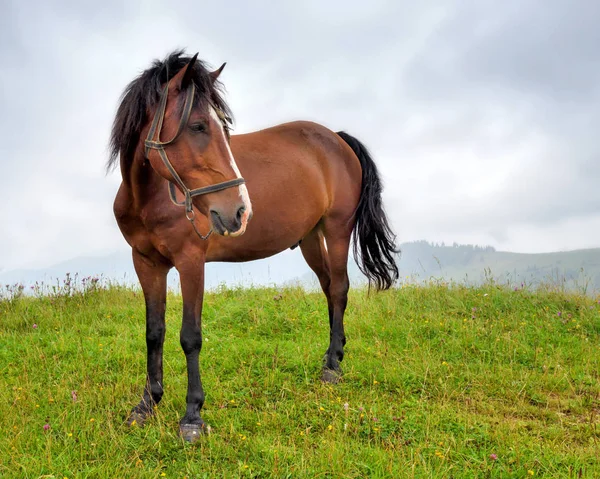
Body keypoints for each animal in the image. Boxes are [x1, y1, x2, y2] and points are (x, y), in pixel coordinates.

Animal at [108, 49, 398, 442]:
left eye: (224, 129)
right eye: (198, 126)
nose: (239, 210)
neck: (150, 197)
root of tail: (336, 140)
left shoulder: (190, 262)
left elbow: (190, 336)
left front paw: (192, 415)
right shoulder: (146, 262)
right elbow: (154, 333)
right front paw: (147, 404)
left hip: (337, 230)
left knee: (339, 289)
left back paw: (333, 368)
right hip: (311, 238)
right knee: (328, 288)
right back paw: (332, 354)